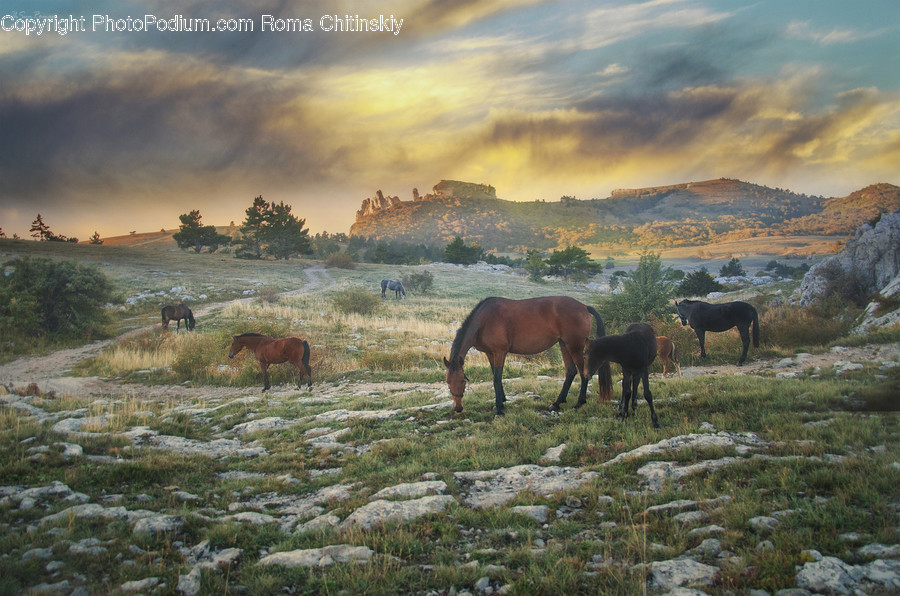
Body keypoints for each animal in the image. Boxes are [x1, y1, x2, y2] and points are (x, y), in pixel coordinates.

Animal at [442, 296, 612, 416]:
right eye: (448, 382)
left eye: (463, 381)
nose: (458, 408)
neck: (484, 321)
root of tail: (584, 307)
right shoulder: (490, 354)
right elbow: (496, 376)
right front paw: (502, 400)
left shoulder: (500, 352)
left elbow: (496, 378)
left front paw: (499, 408)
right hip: (564, 345)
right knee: (571, 372)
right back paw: (557, 403)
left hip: (574, 347)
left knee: (583, 373)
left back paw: (579, 403)